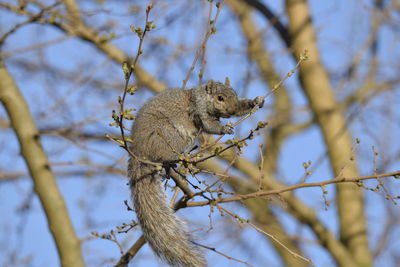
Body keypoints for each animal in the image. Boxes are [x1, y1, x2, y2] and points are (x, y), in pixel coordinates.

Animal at [128, 79, 264, 267]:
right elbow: (209, 125)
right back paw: (171, 161)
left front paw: (254, 102)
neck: (202, 97)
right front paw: (224, 129)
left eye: (235, 96)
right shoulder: (199, 110)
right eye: (220, 98)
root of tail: (139, 150)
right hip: (168, 135)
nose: (231, 111)